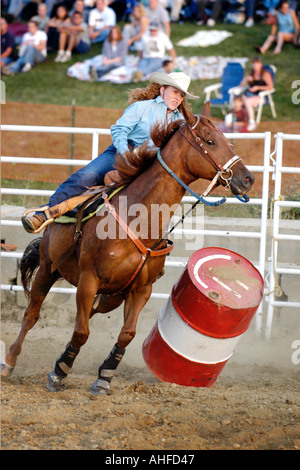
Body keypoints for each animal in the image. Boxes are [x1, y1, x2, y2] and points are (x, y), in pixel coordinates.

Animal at [0, 104, 255, 394]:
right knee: (32, 315)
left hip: (111, 296)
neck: (138, 218)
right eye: (210, 141)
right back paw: (10, 361)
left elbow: (126, 334)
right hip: (48, 268)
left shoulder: (141, 289)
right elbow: (81, 332)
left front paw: (103, 377)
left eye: (228, 141)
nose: (248, 179)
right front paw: (59, 372)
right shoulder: (89, 280)